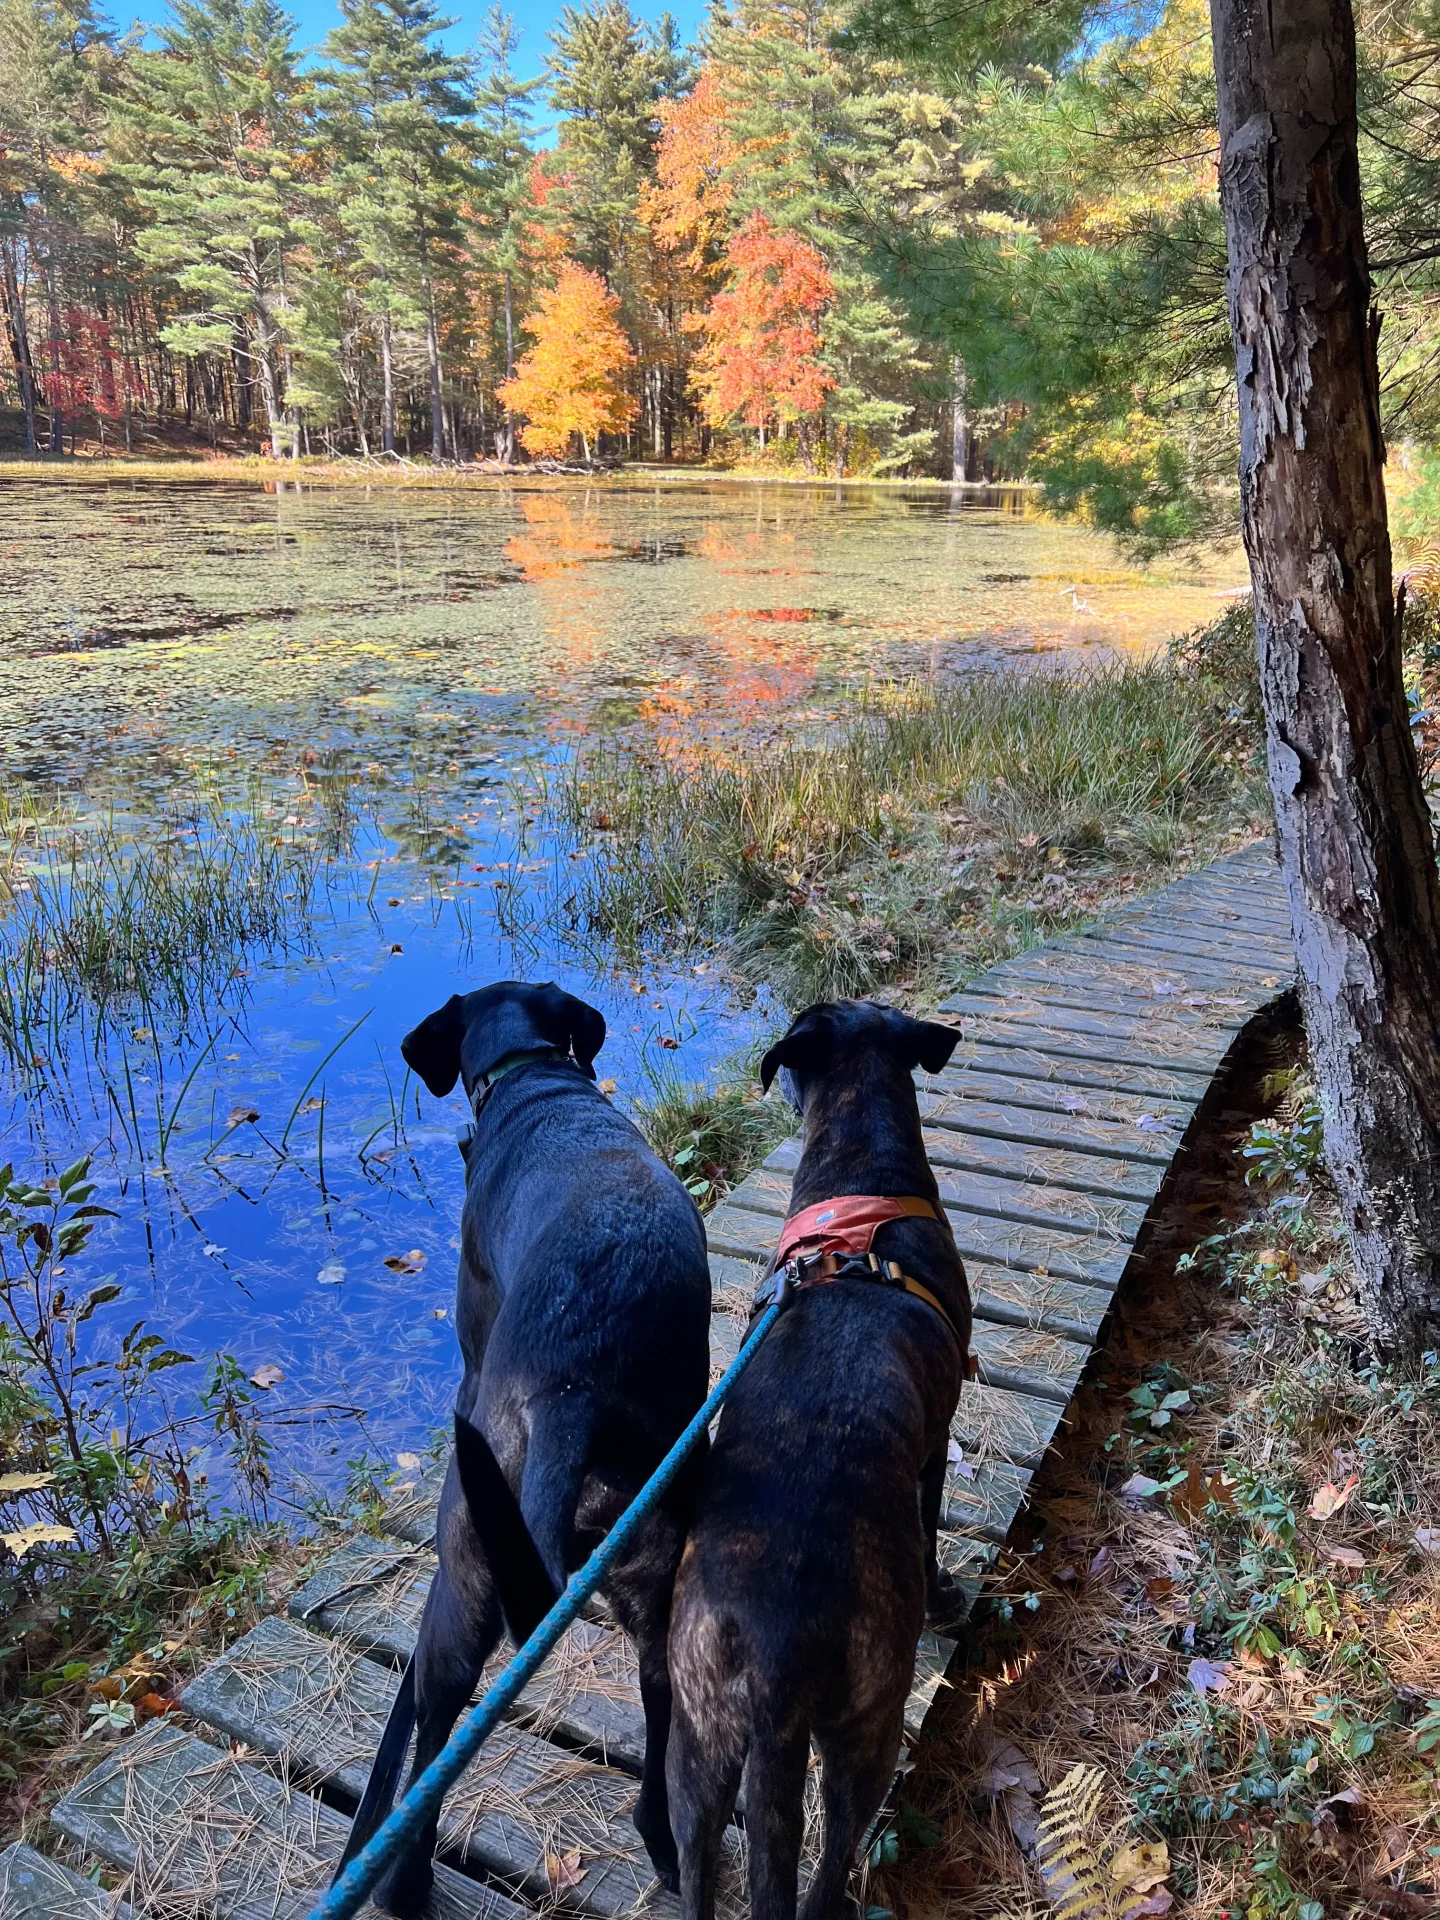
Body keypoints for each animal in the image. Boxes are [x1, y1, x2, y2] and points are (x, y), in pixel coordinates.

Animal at [339, 983, 721, 1912]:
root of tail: (567, 1399)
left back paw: (404, 1883)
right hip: (653, 1579)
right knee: (659, 1714)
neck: (535, 1079)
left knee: (435, 1727)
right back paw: (663, 1844)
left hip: (464, 1576)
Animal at [664, 998, 971, 1920]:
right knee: (832, 1860)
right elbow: (932, 1527)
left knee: (695, 1860)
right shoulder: (934, 1443)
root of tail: (773, 1652)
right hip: (866, 1730)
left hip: (697, 1745)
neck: (858, 1178)